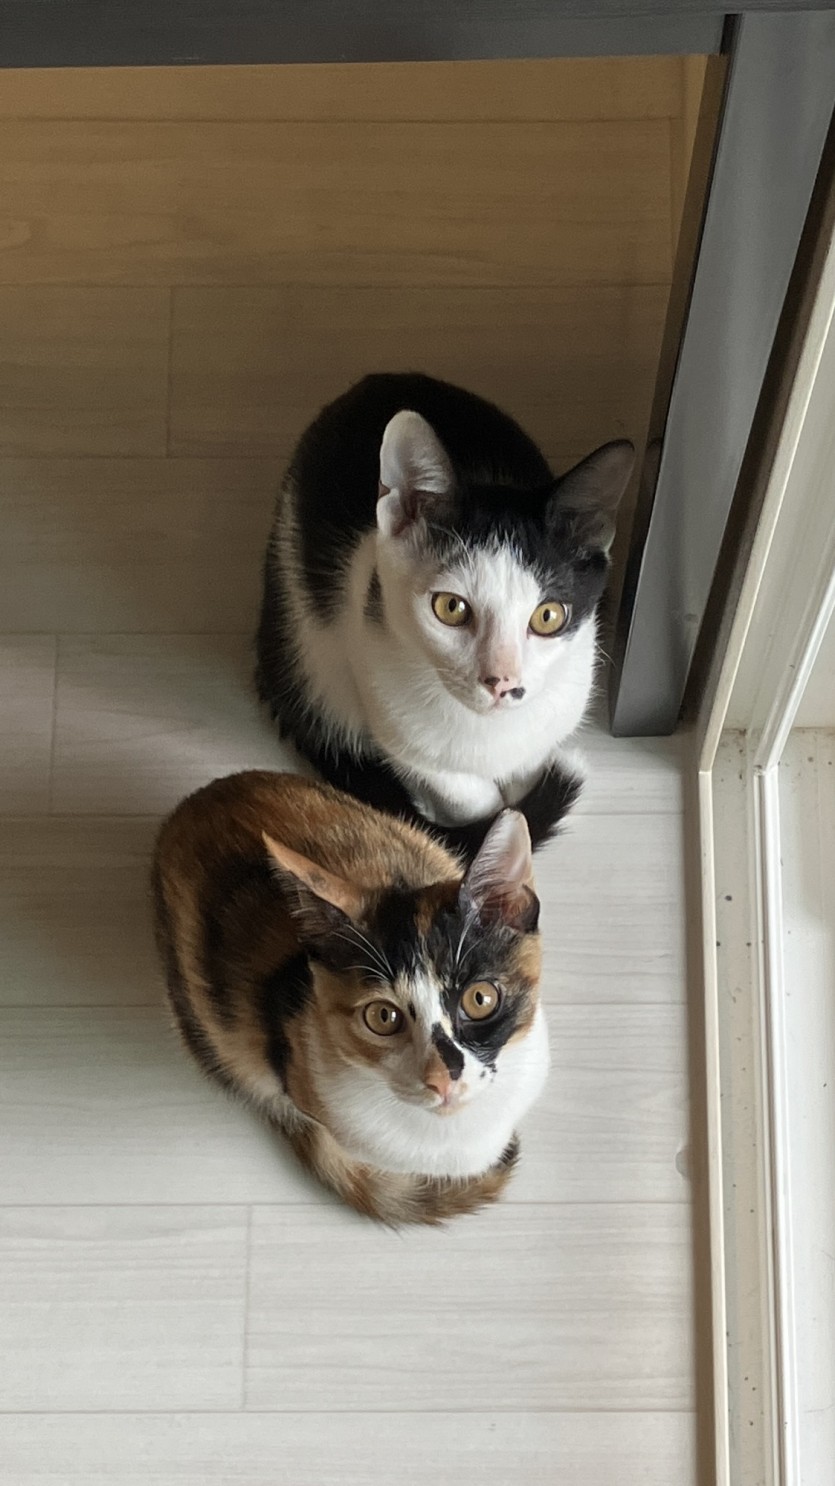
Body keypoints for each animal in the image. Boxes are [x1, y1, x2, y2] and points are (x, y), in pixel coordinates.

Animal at [256, 372, 634, 858]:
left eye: (548, 616)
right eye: (451, 608)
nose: (502, 683)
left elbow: (528, 769)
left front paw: (517, 811)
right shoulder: (380, 689)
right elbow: (463, 789)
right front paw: (496, 829)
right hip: (308, 648)